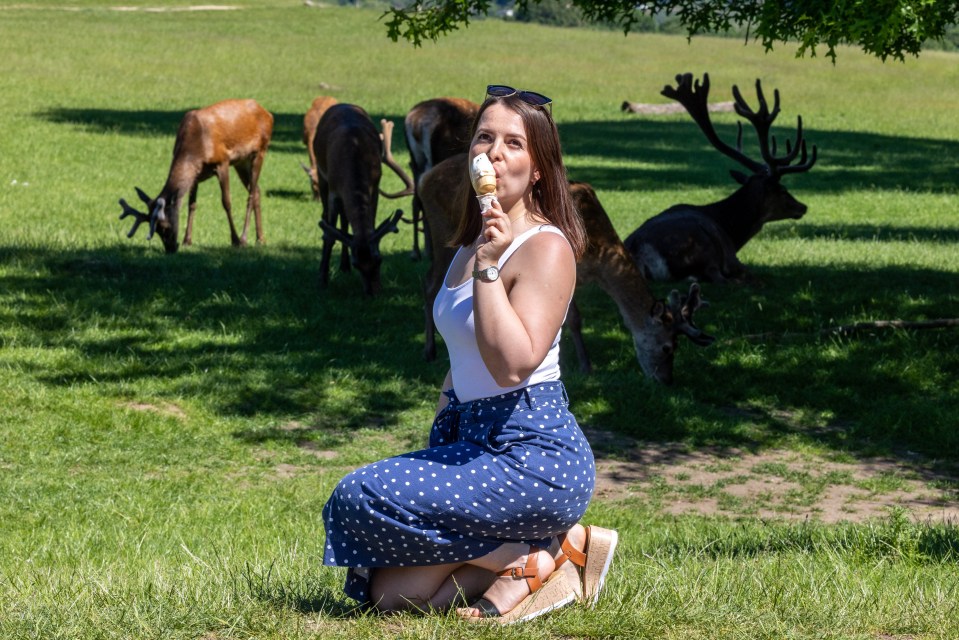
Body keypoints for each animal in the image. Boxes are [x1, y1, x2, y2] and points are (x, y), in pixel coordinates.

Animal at [117, 97, 274, 252]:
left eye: (165, 226)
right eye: (156, 231)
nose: (171, 249)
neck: (196, 149)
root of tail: (268, 114)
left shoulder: (222, 162)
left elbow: (226, 202)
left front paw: (234, 240)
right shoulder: (196, 175)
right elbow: (191, 205)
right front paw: (187, 240)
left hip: (260, 151)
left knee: (251, 195)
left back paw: (244, 238)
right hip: (241, 162)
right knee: (257, 190)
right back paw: (261, 239)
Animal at [316, 104, 416, 296]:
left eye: (379, 259)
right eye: (357, 265)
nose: (373, 292)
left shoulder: (374, 186)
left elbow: (371, 222)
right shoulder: (333, 189)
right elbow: (330, 234)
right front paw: (323, 280)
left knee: (345, 220)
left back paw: (343, 266)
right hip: (321, 175)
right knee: (327, 216)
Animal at [418, 154, 712, 384]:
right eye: (667, 348)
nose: (666, 380)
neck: (597, 255)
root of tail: (424, 179)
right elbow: (574, 319)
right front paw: (585, 365)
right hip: (442, 230)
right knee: (430, 284)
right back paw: (430, 351)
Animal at [628, 71, 820, 282]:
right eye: (782, 190)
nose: (803, 207)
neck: (732, 230)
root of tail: (640, 254)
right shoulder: (731, 257)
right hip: (703, 249)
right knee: (720, 278)